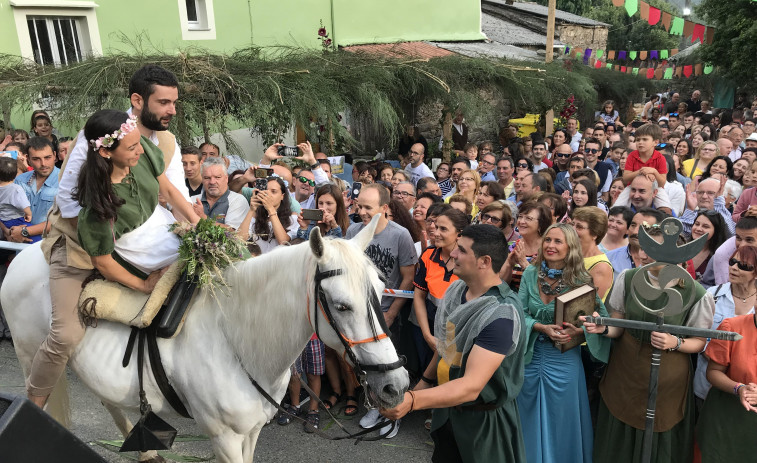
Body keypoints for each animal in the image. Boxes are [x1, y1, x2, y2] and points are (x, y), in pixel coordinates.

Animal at [0, 218, 410, 463]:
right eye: (341, 305)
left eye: (380, 291)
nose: (396, 384)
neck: (238, 339)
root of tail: (24, 257)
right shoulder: (224, 437)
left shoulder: (251, 432)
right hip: (33, 356)